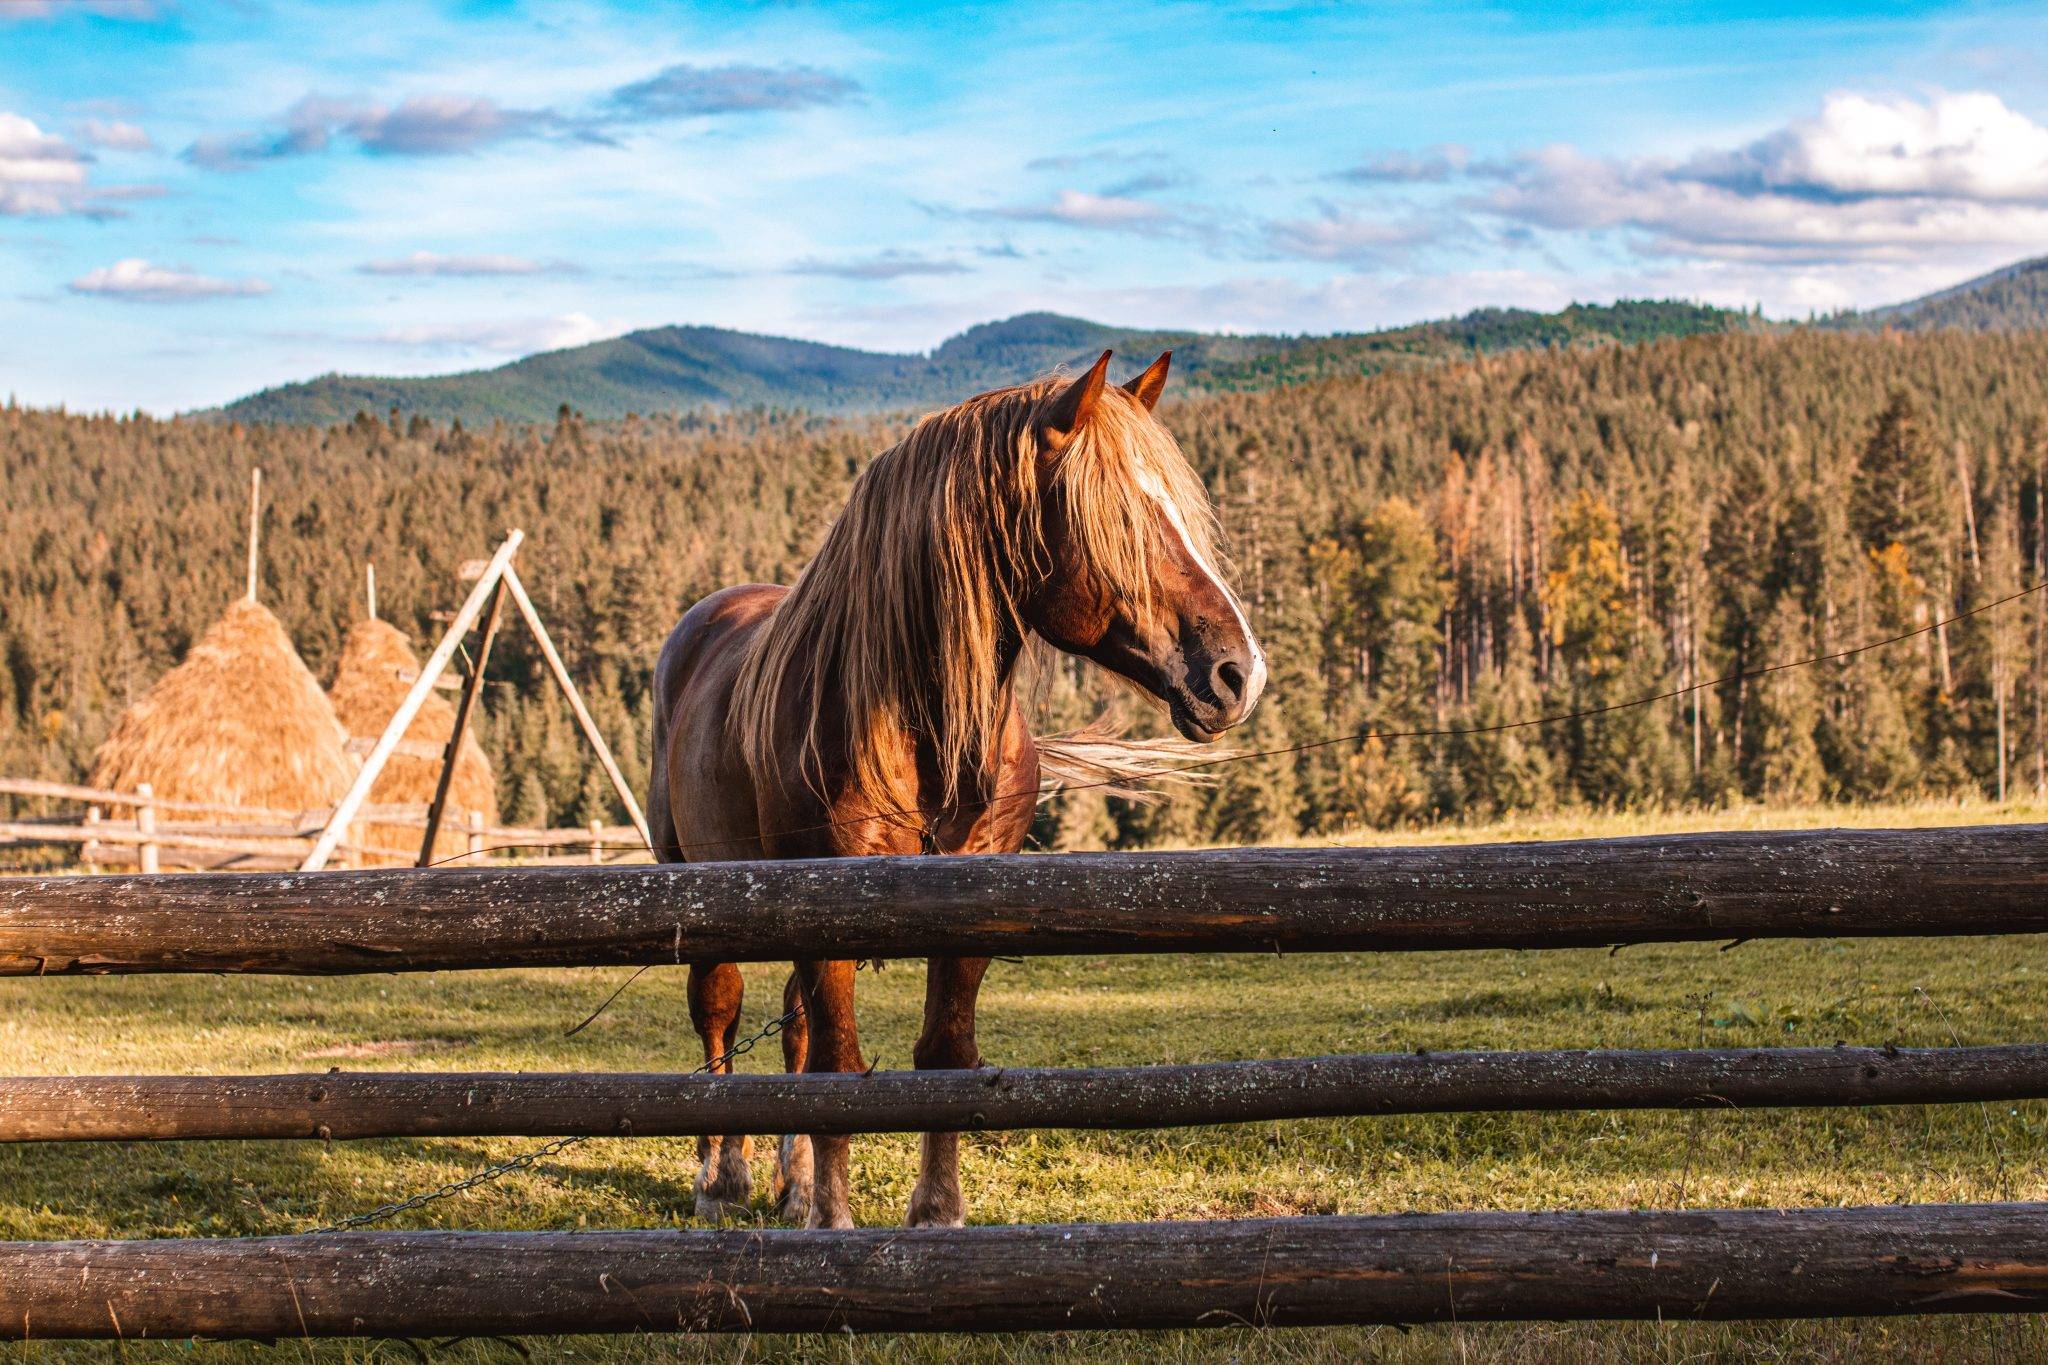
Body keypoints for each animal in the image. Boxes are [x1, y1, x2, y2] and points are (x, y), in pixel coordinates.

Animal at [651, 349, 1261, 1227]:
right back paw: (721, 1176)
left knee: (789, 1026)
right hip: (698, 887)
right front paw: (834, 1217)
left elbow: (940, 1052)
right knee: (719, 1013)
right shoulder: (826, 909)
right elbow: (839, 1066)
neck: (921, 727)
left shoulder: (968, 902)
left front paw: (934, 1207)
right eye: (1117, 517)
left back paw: (790, 1183)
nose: (1237, 673)